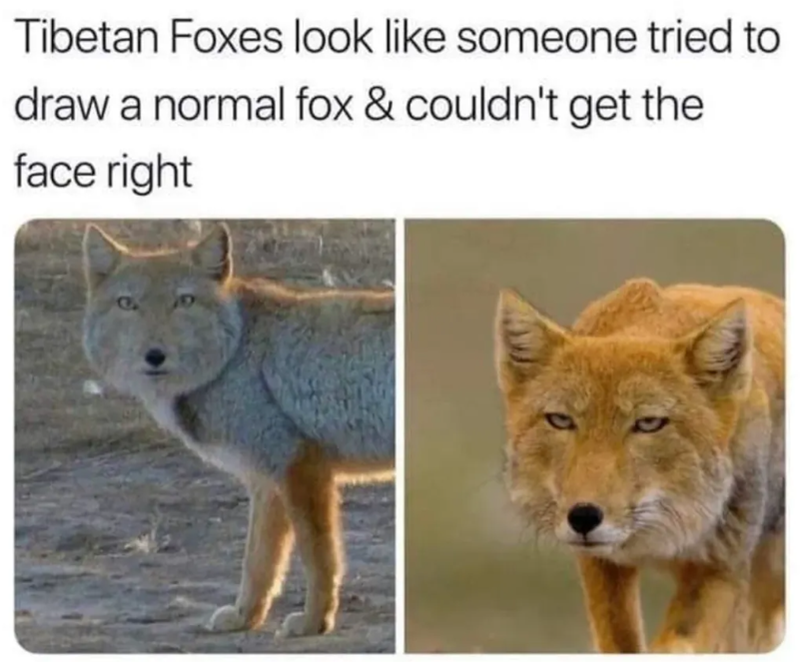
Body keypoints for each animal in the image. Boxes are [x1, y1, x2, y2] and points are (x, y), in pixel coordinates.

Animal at [82, 222, 395, 639]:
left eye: (185, 301)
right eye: (127, 304)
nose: (155, 356)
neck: (236, 351)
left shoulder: (298, 468)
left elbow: (319, 559)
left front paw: (314, 621)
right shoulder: (265, 481)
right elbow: (258, 564)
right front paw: (246, 617)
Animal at [494, 278, 784, 653]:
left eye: (648, 424)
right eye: (560, 420)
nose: (583, 517)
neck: (658, 543)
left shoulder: (720, 567)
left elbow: (677, 643)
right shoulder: (600, 563)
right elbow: (621, 642)